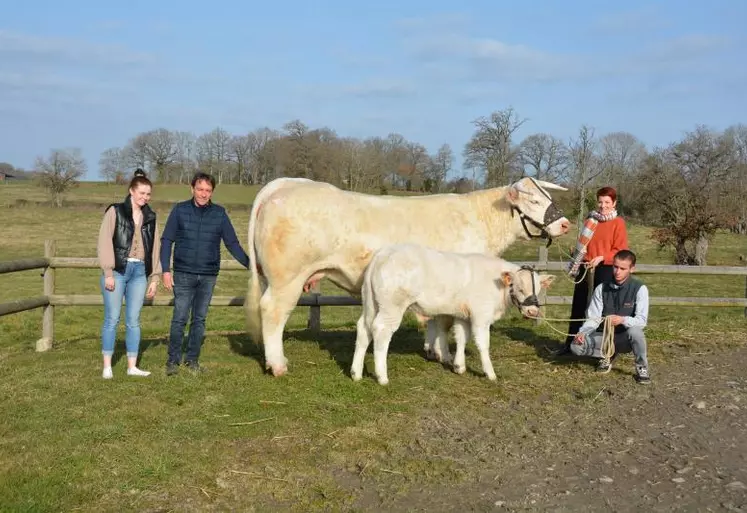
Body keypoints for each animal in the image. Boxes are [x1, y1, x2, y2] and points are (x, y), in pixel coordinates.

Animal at [350, 243, 556, 384]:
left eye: (538, 289)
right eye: (520, 288)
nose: (532, 310)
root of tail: (383, 254)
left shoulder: (463, 314)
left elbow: (461, 337)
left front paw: (459, 366)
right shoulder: (481, 315)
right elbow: (482, 343)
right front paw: (490, 373)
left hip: (371, 303)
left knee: (364, 328)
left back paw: (356, 373)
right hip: (392, 305)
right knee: (381, 330)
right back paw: (382, 376)